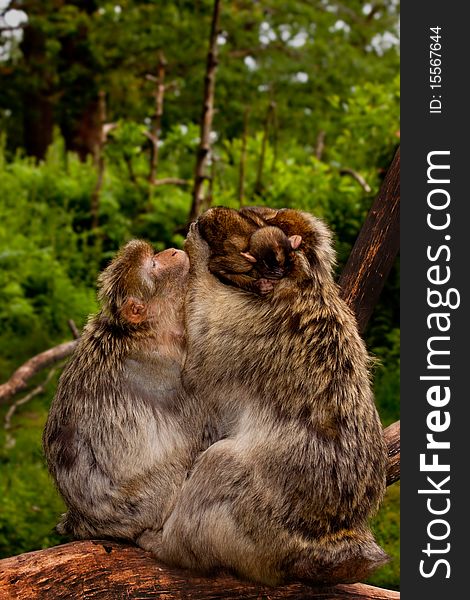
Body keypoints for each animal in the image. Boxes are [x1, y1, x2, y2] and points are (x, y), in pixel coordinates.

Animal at [43, 240, 206, 548]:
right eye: (153, 265)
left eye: (154, 255)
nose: (171, 251)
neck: (142, 332)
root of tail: (82, 520)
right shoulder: (168, 369)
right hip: (143, 502)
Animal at [156, 209, 388, 584]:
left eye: (253, 219)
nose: (208, 219)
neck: (305, 286)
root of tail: (327, 544)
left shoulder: (249, 324)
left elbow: (200, 354)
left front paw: (198, 249)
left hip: (262, 528)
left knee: (223, 462)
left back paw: (171, 548)